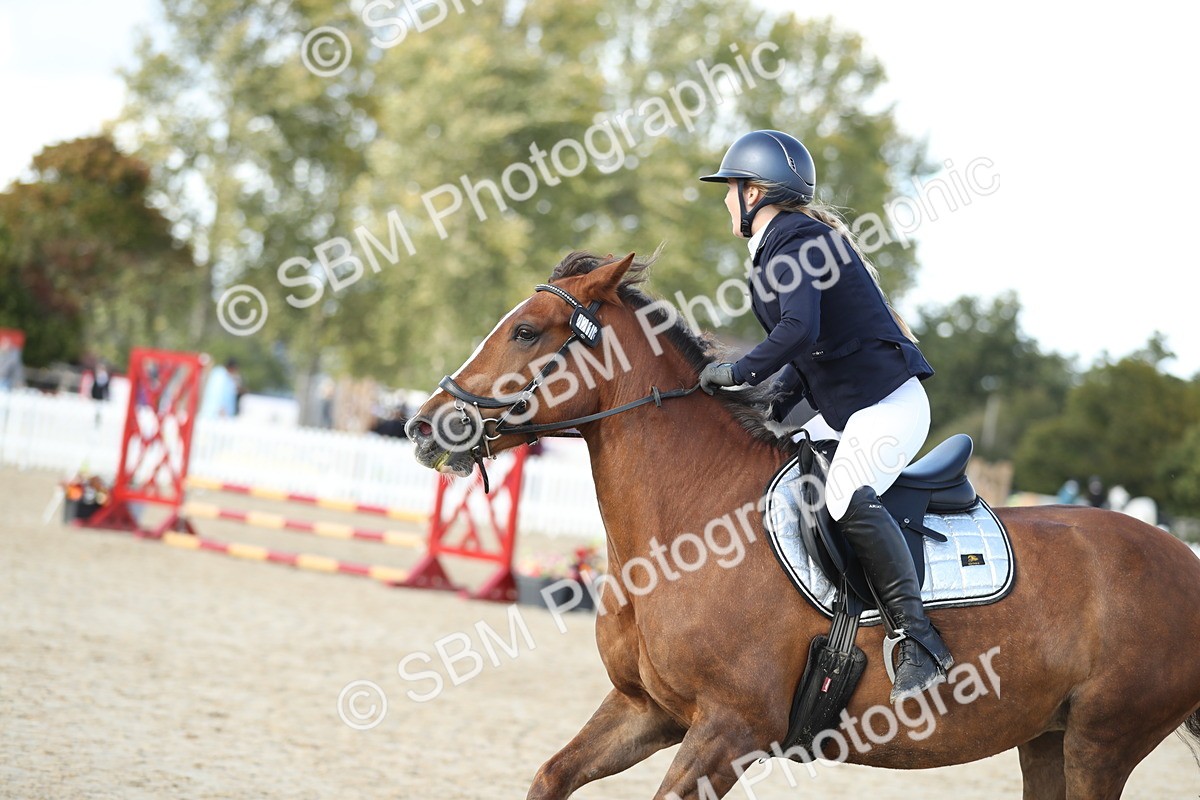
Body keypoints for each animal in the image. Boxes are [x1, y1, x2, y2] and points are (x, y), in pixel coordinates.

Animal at [405, 251, 1200, 799]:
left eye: (525, 331)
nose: (423, 424)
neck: (687, 525)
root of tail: (1185, 559)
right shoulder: (646, 710)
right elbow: (550, 776)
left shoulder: (729, 731)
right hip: (1046, 739)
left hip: (1100, 742)